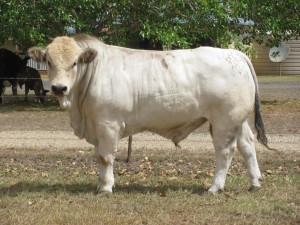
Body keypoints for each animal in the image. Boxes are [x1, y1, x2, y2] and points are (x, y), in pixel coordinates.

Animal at [29, 34, 270, 194]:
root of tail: (233, 53)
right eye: (49, 61)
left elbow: (105, 157)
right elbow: (99, 156)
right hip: (239, 119)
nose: (59, 88)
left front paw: (105, 188)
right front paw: (101, 183)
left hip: (223, 121)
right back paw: (255, 183)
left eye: (74, 62)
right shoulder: (96, 125)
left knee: (225, 151)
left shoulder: (108, 124)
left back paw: (215, 187)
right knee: (247, 145)